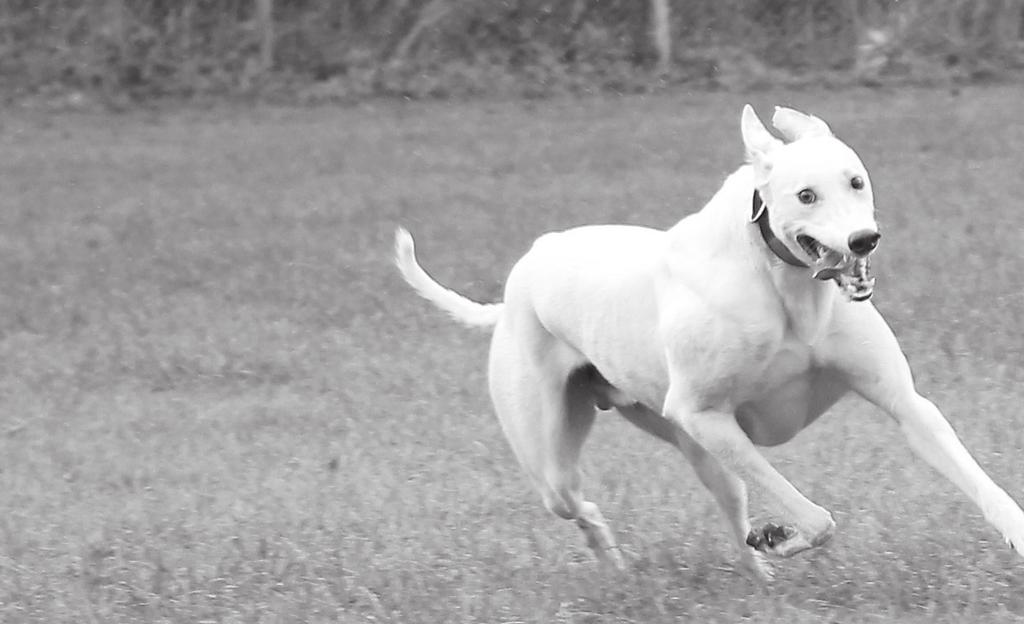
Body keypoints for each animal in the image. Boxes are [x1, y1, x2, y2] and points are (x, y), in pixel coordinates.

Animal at [393, 104, 1024, 577]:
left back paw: (757, 575)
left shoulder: (903, 403)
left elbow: (964, 466)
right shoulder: (706, 417)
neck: (782, 283)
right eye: (806, 196)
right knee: (577, 501)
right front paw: (784, 534)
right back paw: (616, 561)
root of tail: (520, 280)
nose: (863, 240)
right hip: (562, 453)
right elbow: (818, 518)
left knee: (729, 512)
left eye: (856, 181)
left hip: (695, 452)